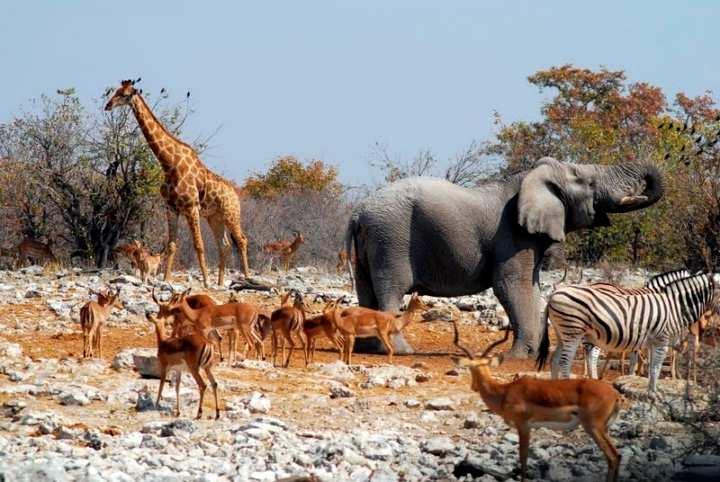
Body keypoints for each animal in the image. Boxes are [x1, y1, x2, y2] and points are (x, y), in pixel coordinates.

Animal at [104, 79, 250, 286]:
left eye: (124, 95)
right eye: (115, 91)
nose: (107, 105)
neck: (169, 164)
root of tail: (236, 194)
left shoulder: (191, 207)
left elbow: (199, 245)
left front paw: (205, 281)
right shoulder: (171, 208)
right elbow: (172, 245)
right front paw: (166, 279)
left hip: (231, 213)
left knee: (242, 240)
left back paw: (247, 277)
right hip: (214, 217)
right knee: (225, 245)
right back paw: (221, 282)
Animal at [344, 158, 664, 358]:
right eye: (589, 182)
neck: (530, 176)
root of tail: (357, 212)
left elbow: (532, 288)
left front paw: (532, 356)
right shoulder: (512, 234)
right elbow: (511, 286)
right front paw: (518, 358)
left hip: (373, 242)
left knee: (366, 290)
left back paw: (367, 350)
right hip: (391, 238)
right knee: (391, 290)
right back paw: (401, 351)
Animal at [536, 272, 716, 392]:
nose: (702, 328)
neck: (672, 304)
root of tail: (553, 295)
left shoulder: (647, 339)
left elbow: (645, 363)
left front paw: (638, 382)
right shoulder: (659, 338)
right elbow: (653, 364)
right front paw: (650, 390)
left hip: (565, 333)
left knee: (557, 360)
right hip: (576, 331)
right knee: (569, 361)